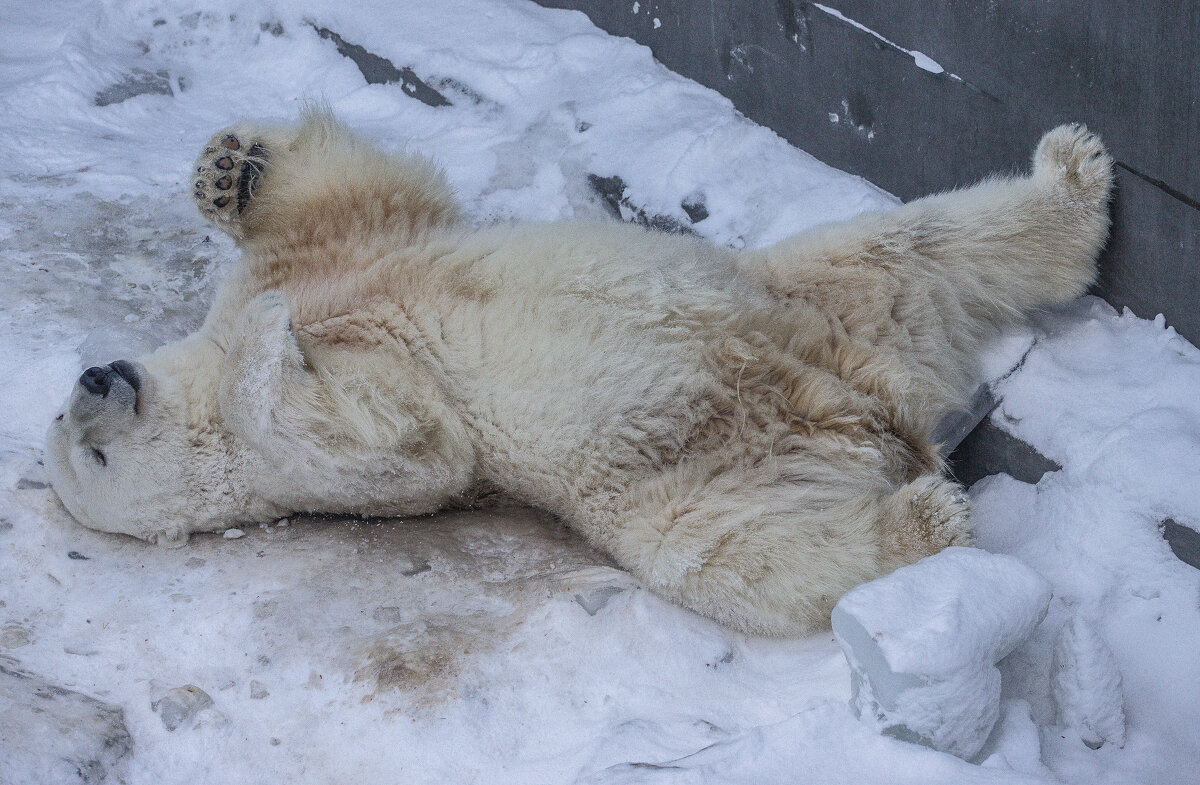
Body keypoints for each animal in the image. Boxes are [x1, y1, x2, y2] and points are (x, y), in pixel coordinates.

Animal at [49, 110, 1113, 638]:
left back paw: (1072, 173)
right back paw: (926, 518)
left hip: (817, 301)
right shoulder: (322, 468)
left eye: (69, 430)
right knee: (745, 554)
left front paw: (228, 171)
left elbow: (354, 202)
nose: (92, 381)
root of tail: (878, 414)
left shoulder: (339, 262)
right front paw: (275, 354)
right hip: (690, 474)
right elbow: (407, 441)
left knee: (922, 244)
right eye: (86, 461)